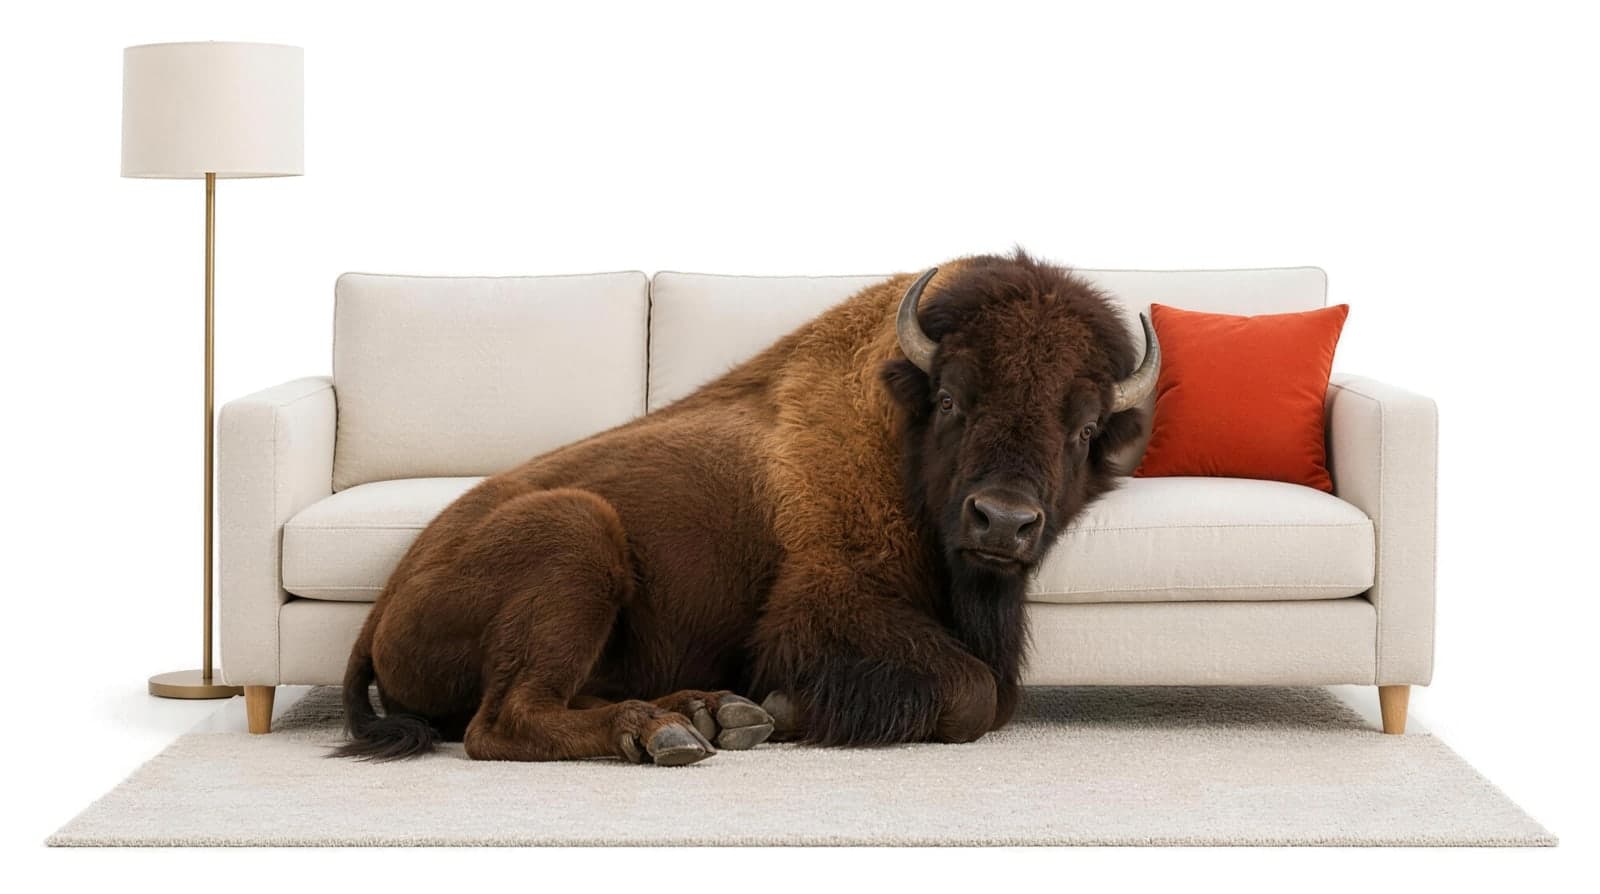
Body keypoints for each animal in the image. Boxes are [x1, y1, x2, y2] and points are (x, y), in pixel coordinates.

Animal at [336, 250, 1159, 764]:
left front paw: (763, 710)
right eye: (954, 398)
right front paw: (789, 708)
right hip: (575, 533)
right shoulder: (824, 604)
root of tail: (381, 608)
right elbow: (975, 694)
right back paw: (666, 734)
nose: (1004, 522)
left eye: (1085, 428)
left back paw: (710, 712)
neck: (897, 430)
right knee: (501, 721)